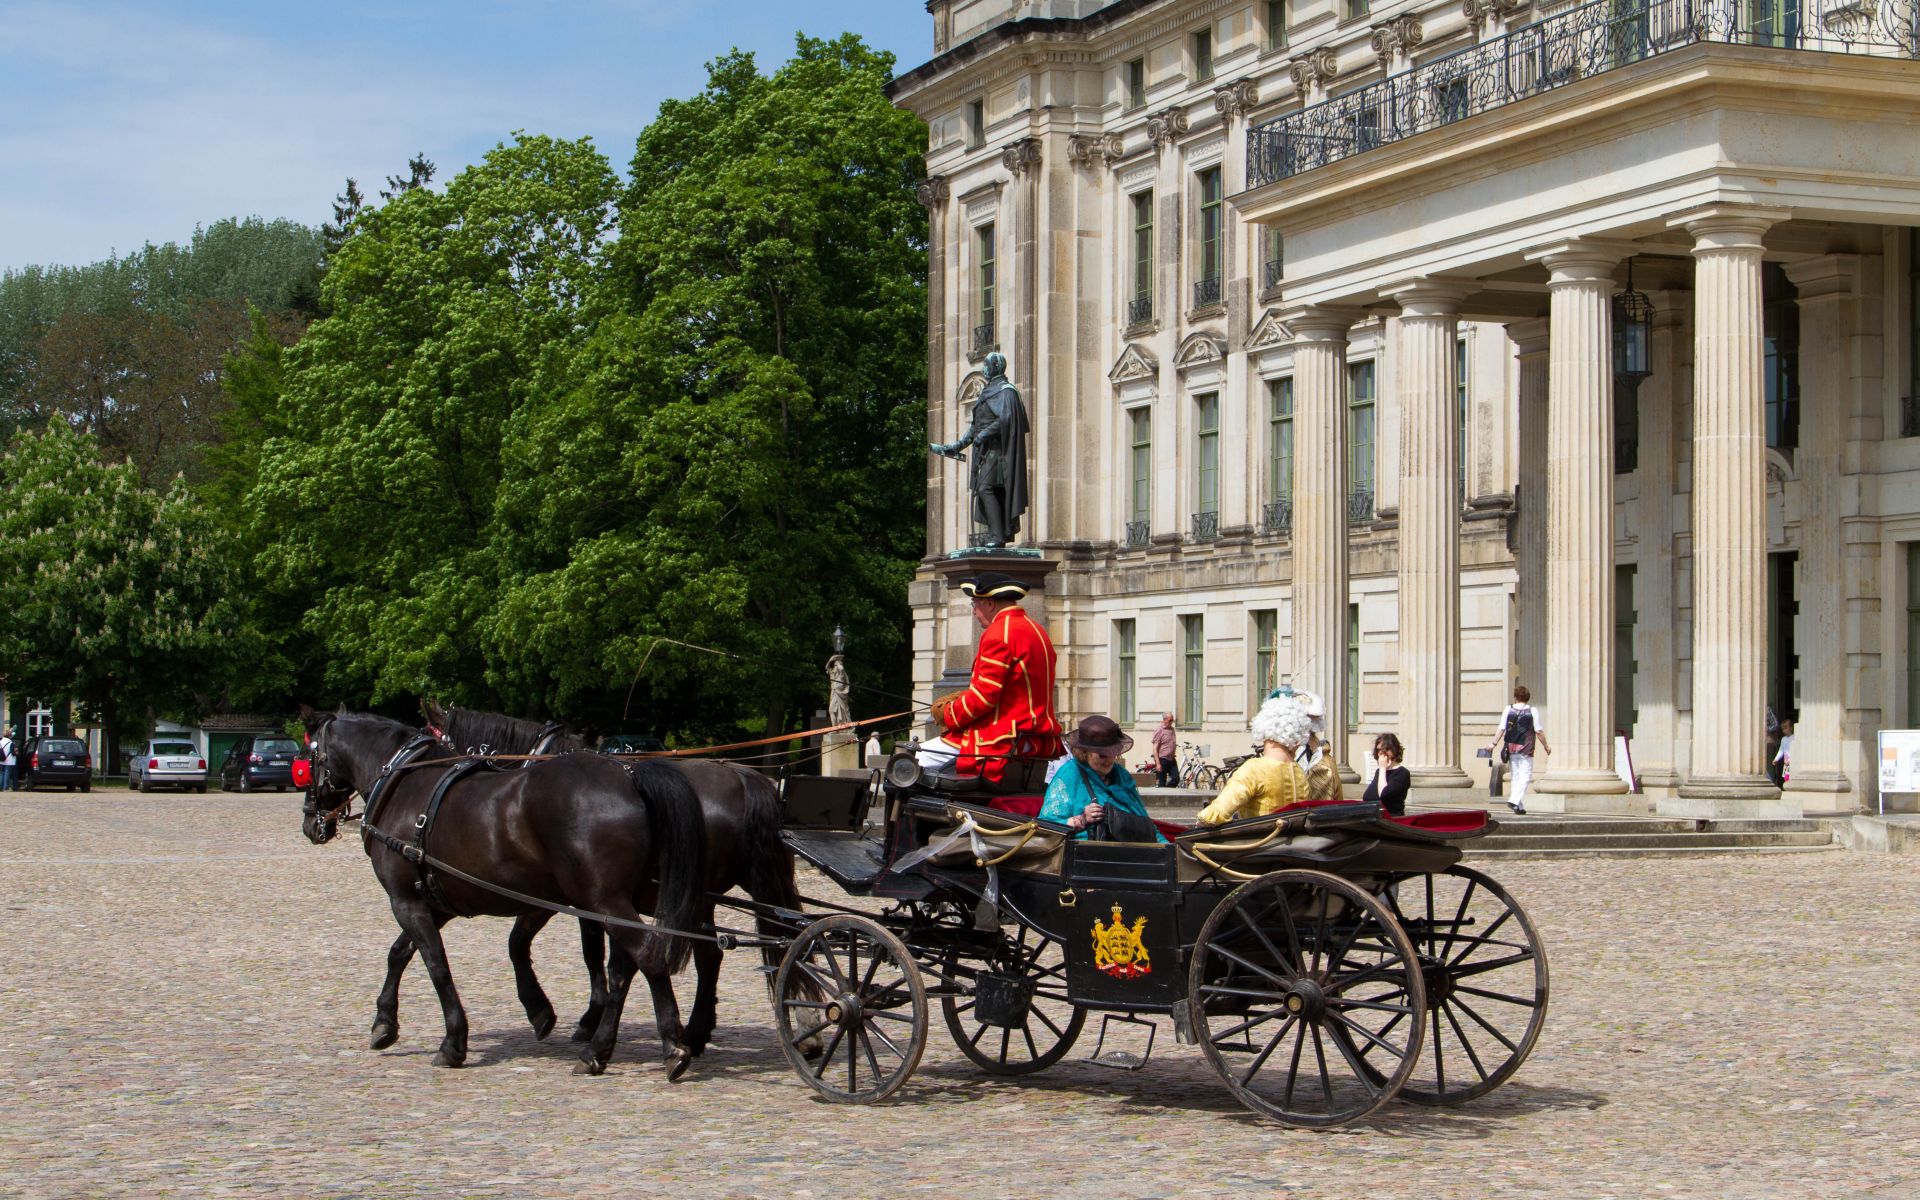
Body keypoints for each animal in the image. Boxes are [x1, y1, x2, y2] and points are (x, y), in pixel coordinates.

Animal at [299, 702, 714, 1075]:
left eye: (306, 758)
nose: (309, 824)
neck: (405, 785)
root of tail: (629, 775)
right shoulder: (439, 900)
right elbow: (401, 953)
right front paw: (384, 1022)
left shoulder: (407, 901)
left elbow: (437, 965)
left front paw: (454, 1042)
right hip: (616, 901)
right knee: (631, 964)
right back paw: (610, 1048)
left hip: (605, 900)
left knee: (648, 956)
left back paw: (671, 1046)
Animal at [424, 698, 806, 1052]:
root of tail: (743, 777)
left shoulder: (575, 897)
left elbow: (567, 950)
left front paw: (582, 1018)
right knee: (735, 950)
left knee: (713, 955)